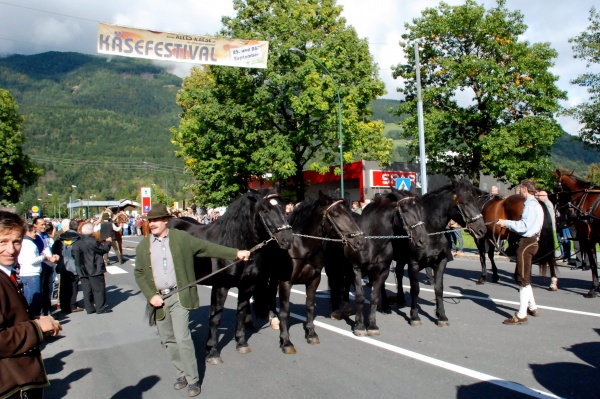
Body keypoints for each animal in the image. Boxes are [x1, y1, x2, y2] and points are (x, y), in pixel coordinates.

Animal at [168, 188, 294, 366]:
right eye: (265, 210)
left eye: (283, 208)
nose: (287, 239)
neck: (234, 244)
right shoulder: (220, 286)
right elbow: (215, 318)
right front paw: (213, 352)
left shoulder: (247, 285)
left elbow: (240, 313)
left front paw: (241, 343)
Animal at [252, 192, 364, 354]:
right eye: (336, 214)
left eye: (349, 213)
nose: (360, 241)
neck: (302, 248)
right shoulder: (285, 282)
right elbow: (285, 311)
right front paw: (286, 342)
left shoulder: (314, 280)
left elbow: (310, 306)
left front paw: (311, 334)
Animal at [326, 191, 428, 338]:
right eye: (405, 210)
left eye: (421, 209)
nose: (423, 240)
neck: (372, 241)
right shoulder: (356, 269)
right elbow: (360, 297)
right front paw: (360, 325)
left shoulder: (382, 270)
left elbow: (374, 297)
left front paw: (372, 325)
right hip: (332, 266)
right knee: (334, 284)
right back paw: (336, 310)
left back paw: (347, 307)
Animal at [394, 181, 488, 328]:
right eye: (464, 202)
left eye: (475, 201)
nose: (482, 229)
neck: (430, 232)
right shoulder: (413, 264)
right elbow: (415, 289)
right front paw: (414, 316)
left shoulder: (441, 262)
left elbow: (438, 288)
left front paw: (441, 316)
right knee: (397, 274)